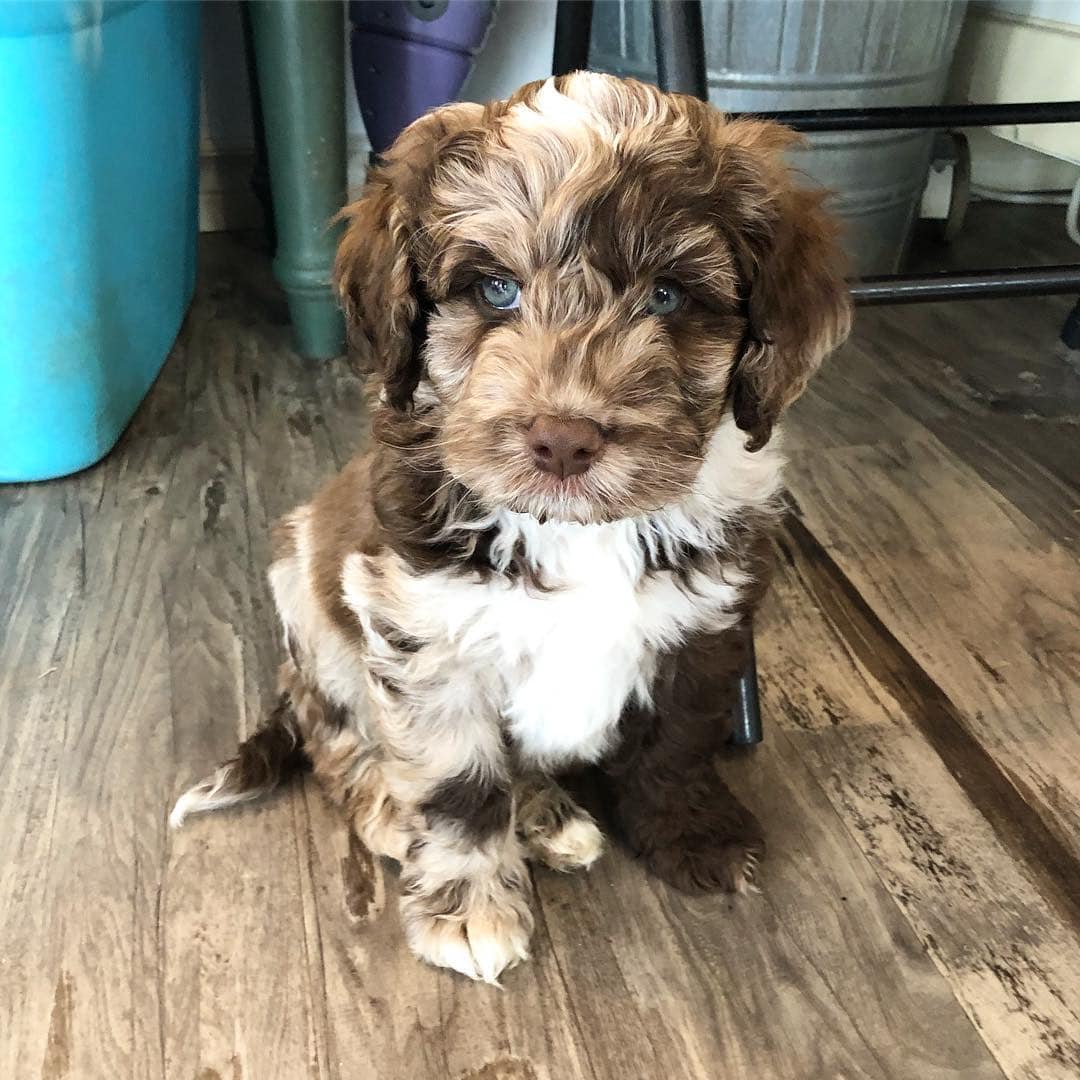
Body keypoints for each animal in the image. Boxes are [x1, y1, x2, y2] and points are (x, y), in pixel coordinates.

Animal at [170, 71, 851, 984]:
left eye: (667, 295)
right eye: (496, 289)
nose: (563, 438)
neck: (582, 528)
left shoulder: (704, 624)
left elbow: (676, 742)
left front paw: (693, 834)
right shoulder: (422, 636)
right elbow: (456, 780)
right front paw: (467, 908)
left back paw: (547, 818)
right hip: (310, 611)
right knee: (339, 751)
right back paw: (413, 816)